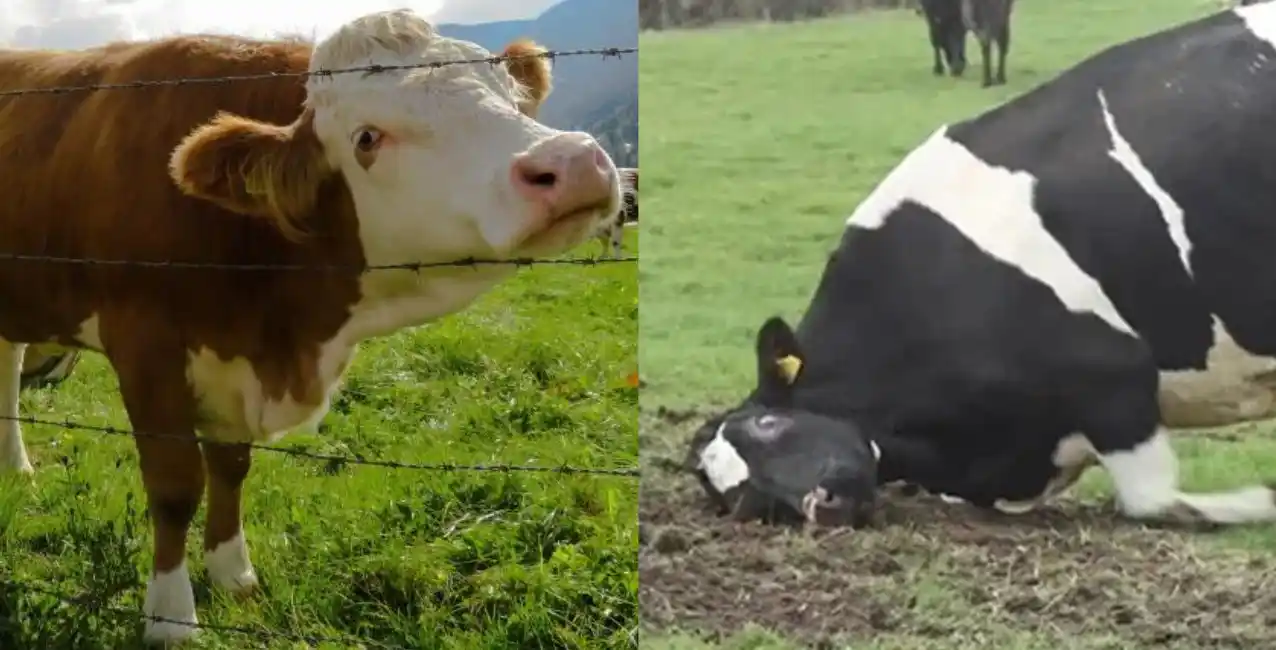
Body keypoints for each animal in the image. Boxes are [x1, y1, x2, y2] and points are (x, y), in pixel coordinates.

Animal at [0, 9, 622, 645]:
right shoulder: (145, 344)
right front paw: (172, 616)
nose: (574, 163)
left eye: (511, 96)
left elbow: (231, 467)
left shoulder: (233, 361)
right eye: (366, 139)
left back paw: (17, 470)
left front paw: (233, 573)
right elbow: (175, 486)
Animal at [685, 3, 1276, 531]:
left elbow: (1149, 500)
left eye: (768, 424)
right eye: (744, 501)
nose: (817, 504)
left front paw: (1263, 500)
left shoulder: (1115, 376)